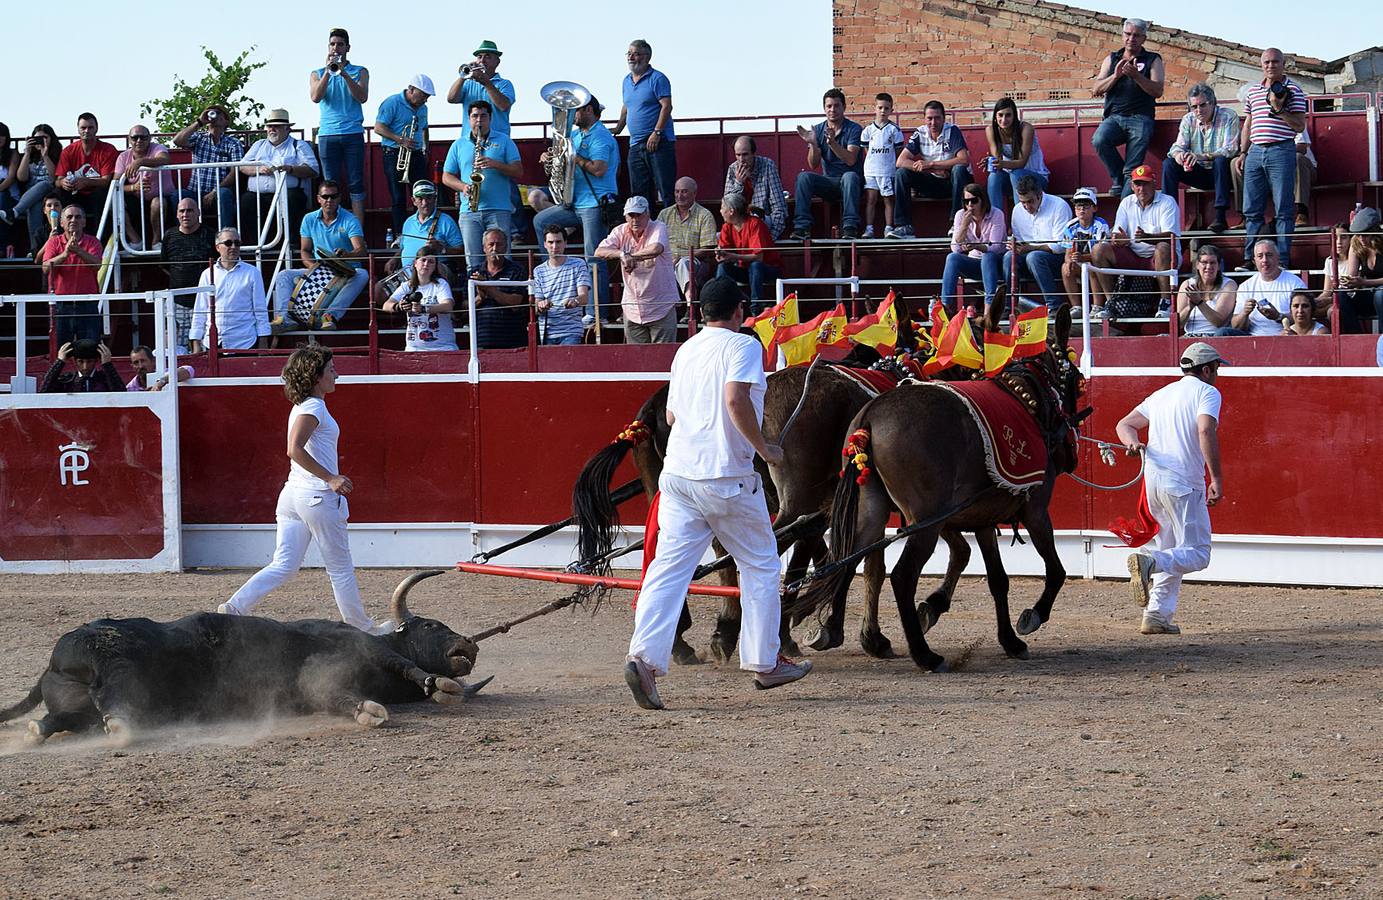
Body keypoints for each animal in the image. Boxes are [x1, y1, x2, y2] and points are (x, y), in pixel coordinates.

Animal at [0, 575, 492, 741]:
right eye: (432, 625)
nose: (468, 645)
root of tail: (53, 662)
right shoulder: (360, 653)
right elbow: (408, 667)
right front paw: (438, 685)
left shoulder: (323, 688)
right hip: (114, 664)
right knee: (111, 700)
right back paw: (121, 727)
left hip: (75, 703)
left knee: (59, 719)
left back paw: (37, 731)